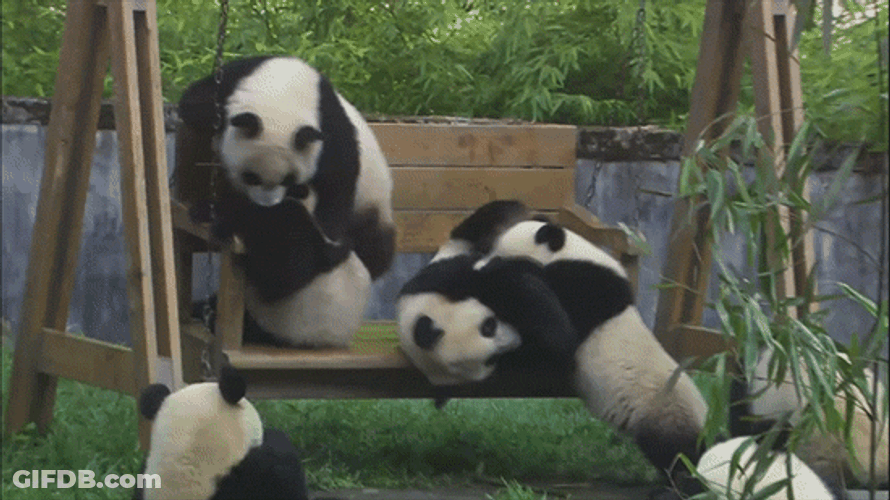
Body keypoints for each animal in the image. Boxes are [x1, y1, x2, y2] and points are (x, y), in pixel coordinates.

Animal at [178, 55, 396, 280]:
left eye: (288, 179)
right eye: (251, 177)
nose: (267, 206)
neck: (281, 92)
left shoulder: (328, 123)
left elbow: (338, 178)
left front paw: (328, 237)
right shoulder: (237, 75)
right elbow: (193, 102)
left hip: (371, 203)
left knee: (371, 246)